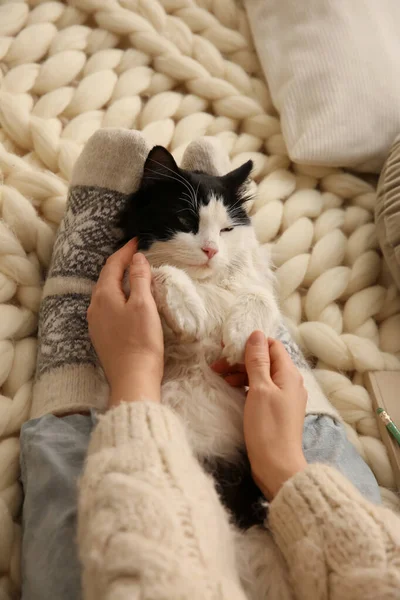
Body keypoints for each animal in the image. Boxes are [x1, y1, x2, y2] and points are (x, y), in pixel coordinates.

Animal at [119, 146, 294, 600]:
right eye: (186, 221)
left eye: (227, 229)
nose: (212, 250)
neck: (208, 286)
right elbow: (159, 272)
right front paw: (190, 313)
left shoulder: (258, 305)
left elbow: (257, 298)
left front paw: (237, 336)